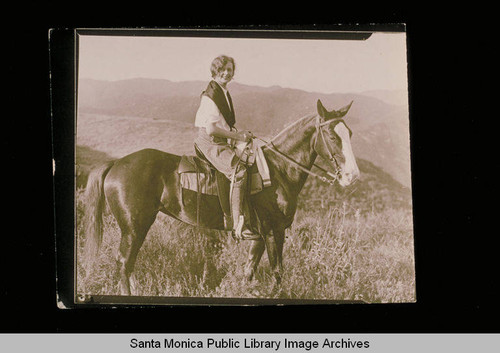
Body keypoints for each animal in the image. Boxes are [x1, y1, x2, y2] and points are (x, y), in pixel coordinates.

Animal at [82, 99, 360, 294]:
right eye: (332, 136)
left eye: (350, 134)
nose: (352, 176)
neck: (278, 171)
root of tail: (116, 163)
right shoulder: (274, 231)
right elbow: (278, 272)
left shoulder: (260, 235)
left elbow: (249, 270)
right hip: (134, 227)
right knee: (123, 263)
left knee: (127, 264)